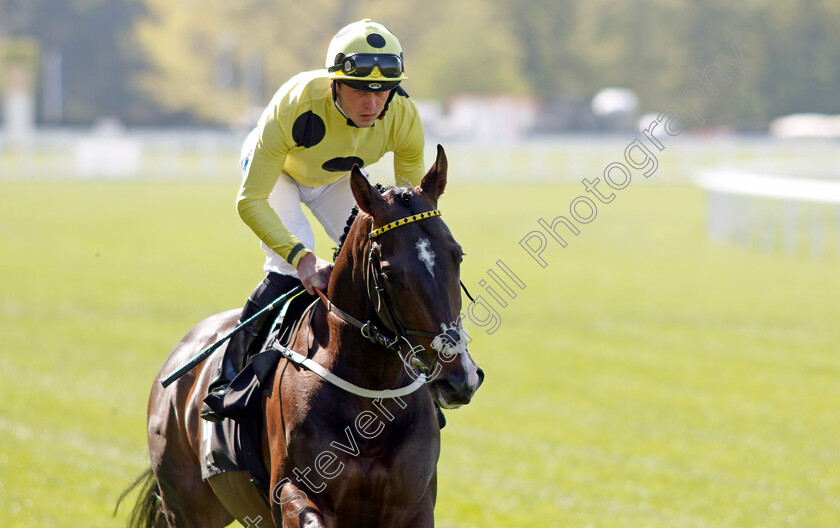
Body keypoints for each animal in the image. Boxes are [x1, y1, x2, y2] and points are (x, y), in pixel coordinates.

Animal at [120, 145, 482, 528]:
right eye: (389, 273)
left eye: (457, 255)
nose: (460, 377)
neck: (370, 396)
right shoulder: (291, 491)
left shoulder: (414, 504)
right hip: (186, 506)